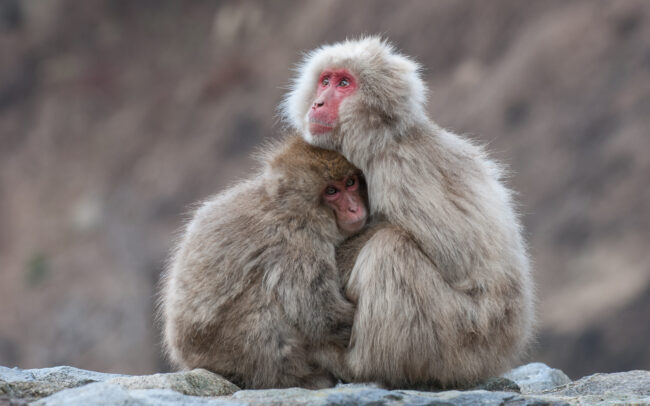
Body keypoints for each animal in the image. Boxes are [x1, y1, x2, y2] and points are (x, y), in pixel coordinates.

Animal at [160, 135, 368, 389]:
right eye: (331, 191)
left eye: (350, 183)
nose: (354, 208)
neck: (293, 208)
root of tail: (188, 357)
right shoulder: (298, 242)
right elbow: (320, 314)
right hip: (231, 351)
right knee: (266, 301)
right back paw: (297, 377)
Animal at [282, 36, 535, 389]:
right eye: (325, 81)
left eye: (345, 84)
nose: (318, 103)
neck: (377, 140)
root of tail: (499, 356)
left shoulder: (399, 169)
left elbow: (455, 256)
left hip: (460, 339)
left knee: (391, 251)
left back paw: (359, 366)